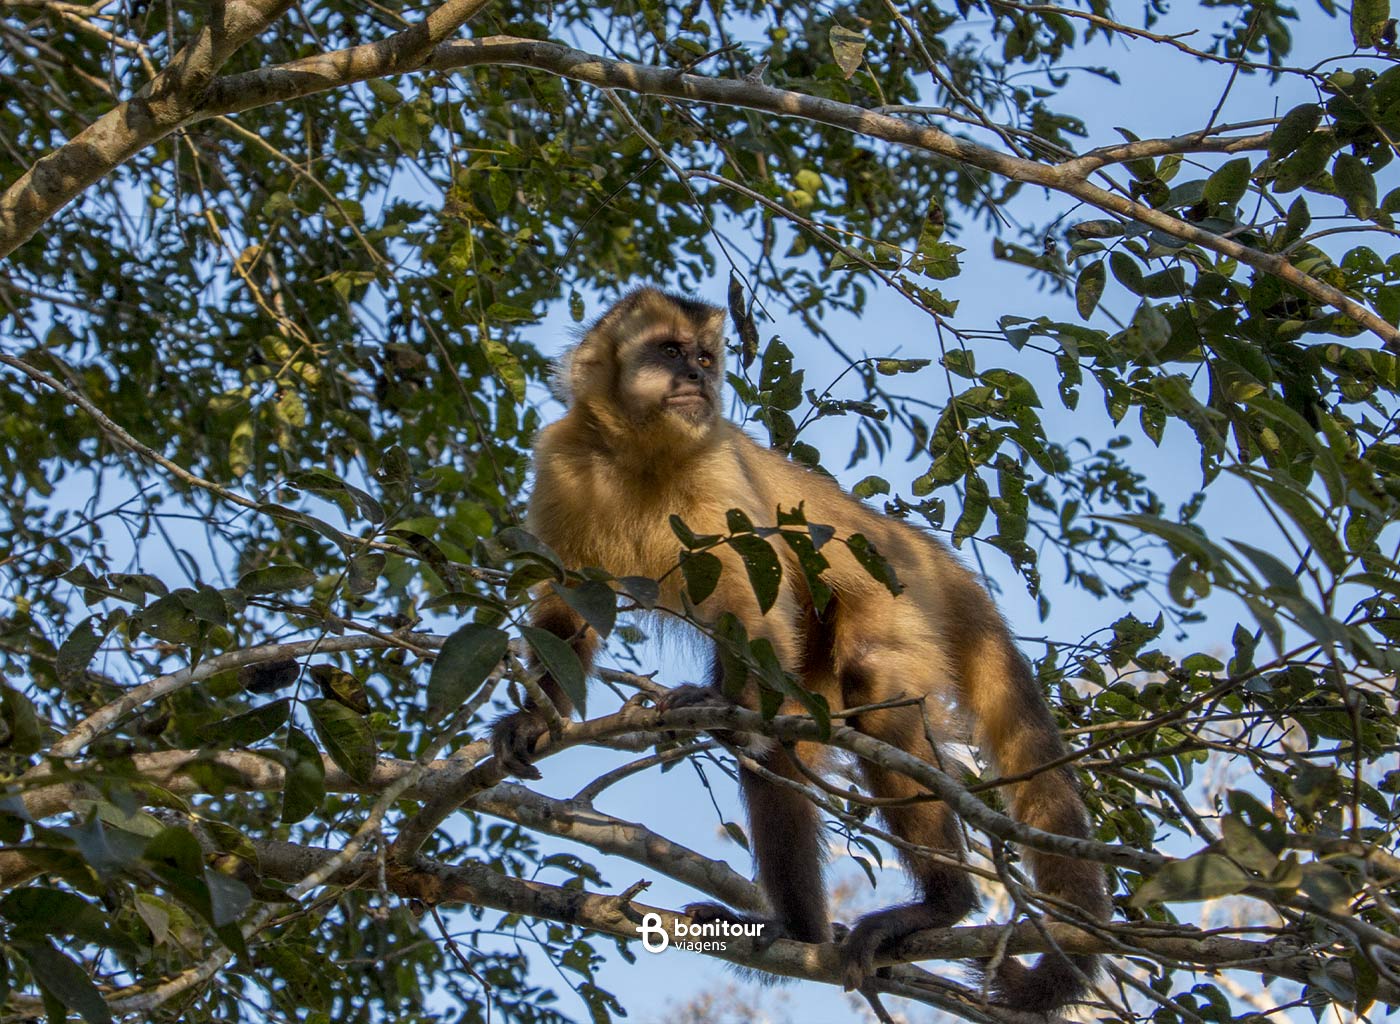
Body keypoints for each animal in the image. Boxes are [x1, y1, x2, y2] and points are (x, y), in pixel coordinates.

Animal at [490, 287, 1110, 1012]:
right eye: (669, 351)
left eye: (705, 357)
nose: (696, 376)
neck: (639, 450)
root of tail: (920, 546)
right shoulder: (562, 457)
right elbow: (568, 609)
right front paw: (532, 720)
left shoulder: (715, 460)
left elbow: (756, 594)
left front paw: (713, 702)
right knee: (780, 750)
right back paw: (795, 929)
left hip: (897, 596)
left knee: (868, 687)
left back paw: (938, 906)